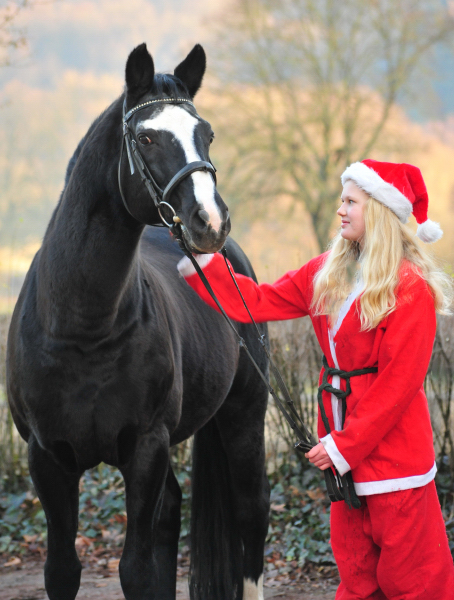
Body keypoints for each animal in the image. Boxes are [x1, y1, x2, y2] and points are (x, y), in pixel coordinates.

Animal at [6, 43, 270, 600]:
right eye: (146, 137)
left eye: (206, 133)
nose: (210, 221)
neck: (83, 328)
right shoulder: (47, 458)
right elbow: (63, 570)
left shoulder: (146, 447)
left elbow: (135, 570)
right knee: (171, 514)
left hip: (244, 412)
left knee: (251, 513)